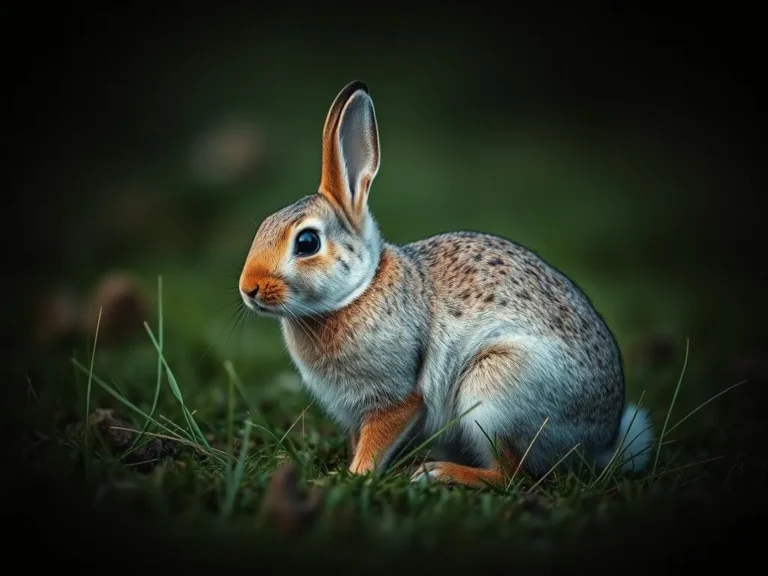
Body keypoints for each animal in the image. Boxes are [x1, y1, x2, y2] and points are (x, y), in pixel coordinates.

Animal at [238, 80, 656, 486]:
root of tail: (597, 442)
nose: (248, 288)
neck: (358, 291)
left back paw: (438, 473)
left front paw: (354, 475)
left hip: (496, 392)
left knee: (512, 476)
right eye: (263, 227)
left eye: (307, 242)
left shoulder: (398, 396)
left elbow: (378, 438)